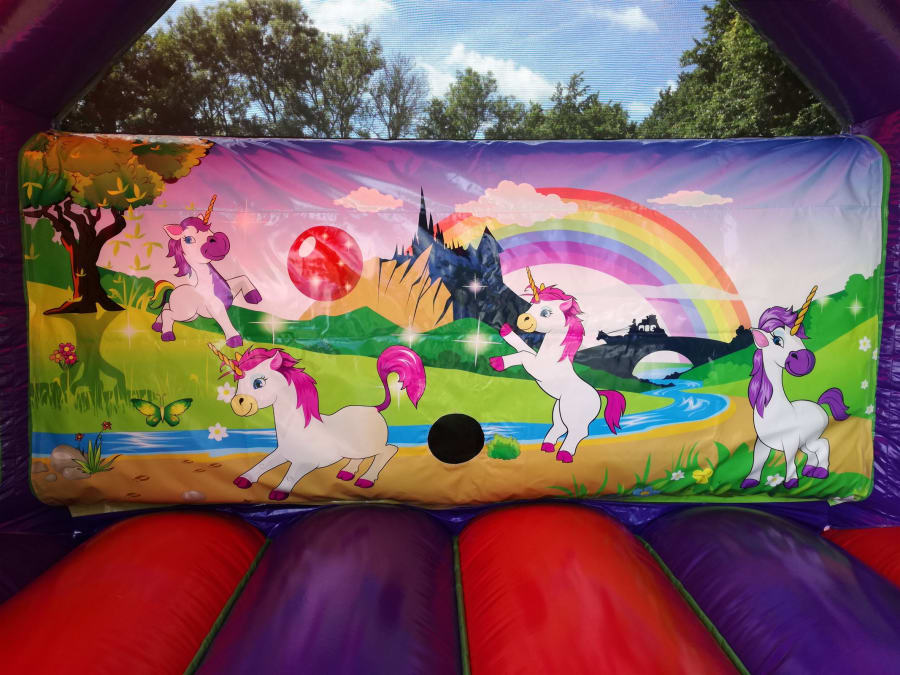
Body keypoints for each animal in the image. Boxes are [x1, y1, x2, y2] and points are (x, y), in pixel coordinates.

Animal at [150, 195, 260, 348]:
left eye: (209, 230)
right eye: (188, 239)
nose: (218, 240)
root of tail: (174, 290)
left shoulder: (231, 289)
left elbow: (243, 277)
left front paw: (254, 297)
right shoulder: (216, 307)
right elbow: (225, 321)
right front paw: (234, 340)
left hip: (189, 315)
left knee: (166, 307)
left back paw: (157, 326)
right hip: (186, 313)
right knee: (167, 313)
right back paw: (167, 334)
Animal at [210, 343, 426, 501]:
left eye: (258, 383)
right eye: (239, 382)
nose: (238, 404)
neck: (298, 428)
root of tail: (374, 408)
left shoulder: (306, 462)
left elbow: (291, 474)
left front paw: (280, 491)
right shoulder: (282, 453)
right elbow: (263, 464)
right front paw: (244, 478)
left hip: (371, 445)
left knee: (388, 450)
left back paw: (366, 479)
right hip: (355, 447)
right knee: (360, 457)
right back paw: (347, 472)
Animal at [489, 267, 625, 463]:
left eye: (546, 312)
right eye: (531, 306)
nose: (523, 318)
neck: (552, 358)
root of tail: (598, 394)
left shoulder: (537, 369)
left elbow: (524, 354)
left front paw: (498, 363)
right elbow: (524, 348)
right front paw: (506, 331)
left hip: (574, 414)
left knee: (578, 432)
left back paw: (565, 454)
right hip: (559, 410)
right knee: (560, 427)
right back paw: (547, 447)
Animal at [742, 286, 848, 490]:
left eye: (799, 338)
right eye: (777, 340)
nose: (807, 360)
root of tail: (818, 404)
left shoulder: (790, 441)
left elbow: (789, 461)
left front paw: (791, 481)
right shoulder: (762, 442)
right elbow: (757, 460)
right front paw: (751, 480)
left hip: (811, 437)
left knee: (824, 445)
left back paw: (820, 472)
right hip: (806, 441)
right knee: (813, 452)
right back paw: (809, 470)